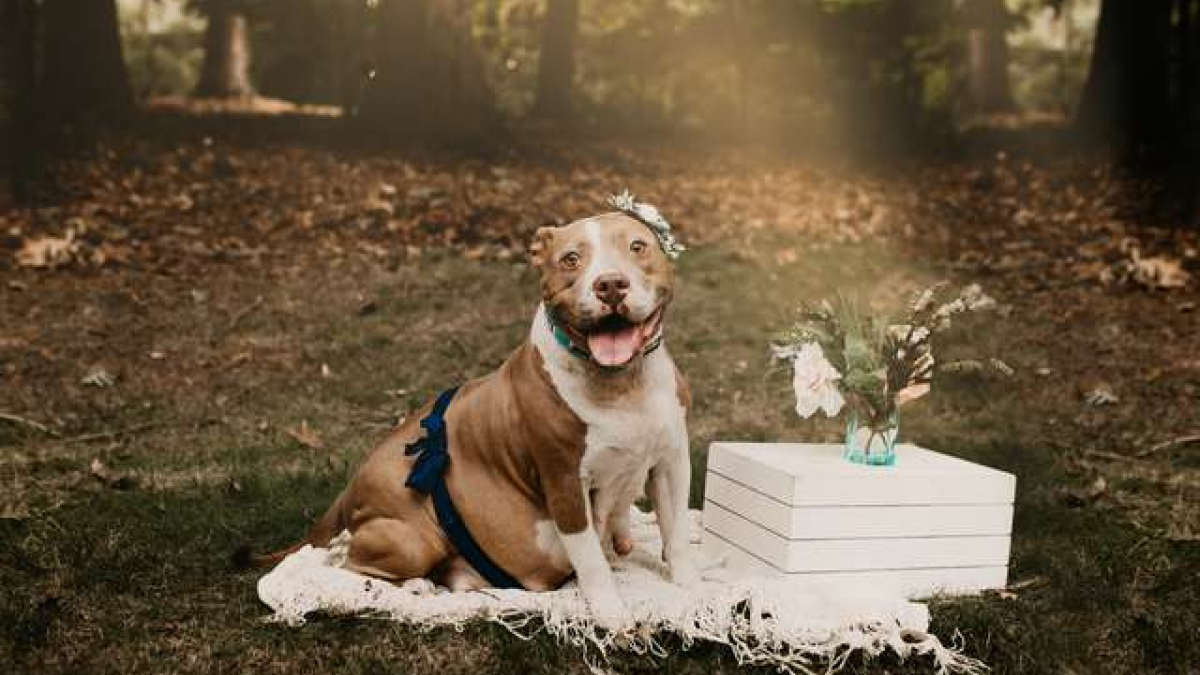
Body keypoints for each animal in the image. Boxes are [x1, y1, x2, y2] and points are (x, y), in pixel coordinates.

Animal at [238, 206, 700, 624]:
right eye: (571, 259)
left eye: (637, 247)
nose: (610, 284)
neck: (622, 383)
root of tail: (350, 488)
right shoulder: (565, 482)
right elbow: (590, 560)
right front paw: (611, 614)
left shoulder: (672, 464)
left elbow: (677, 532)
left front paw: (690, 587)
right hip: (409, 537)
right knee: (350, 565)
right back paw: (415, 586)